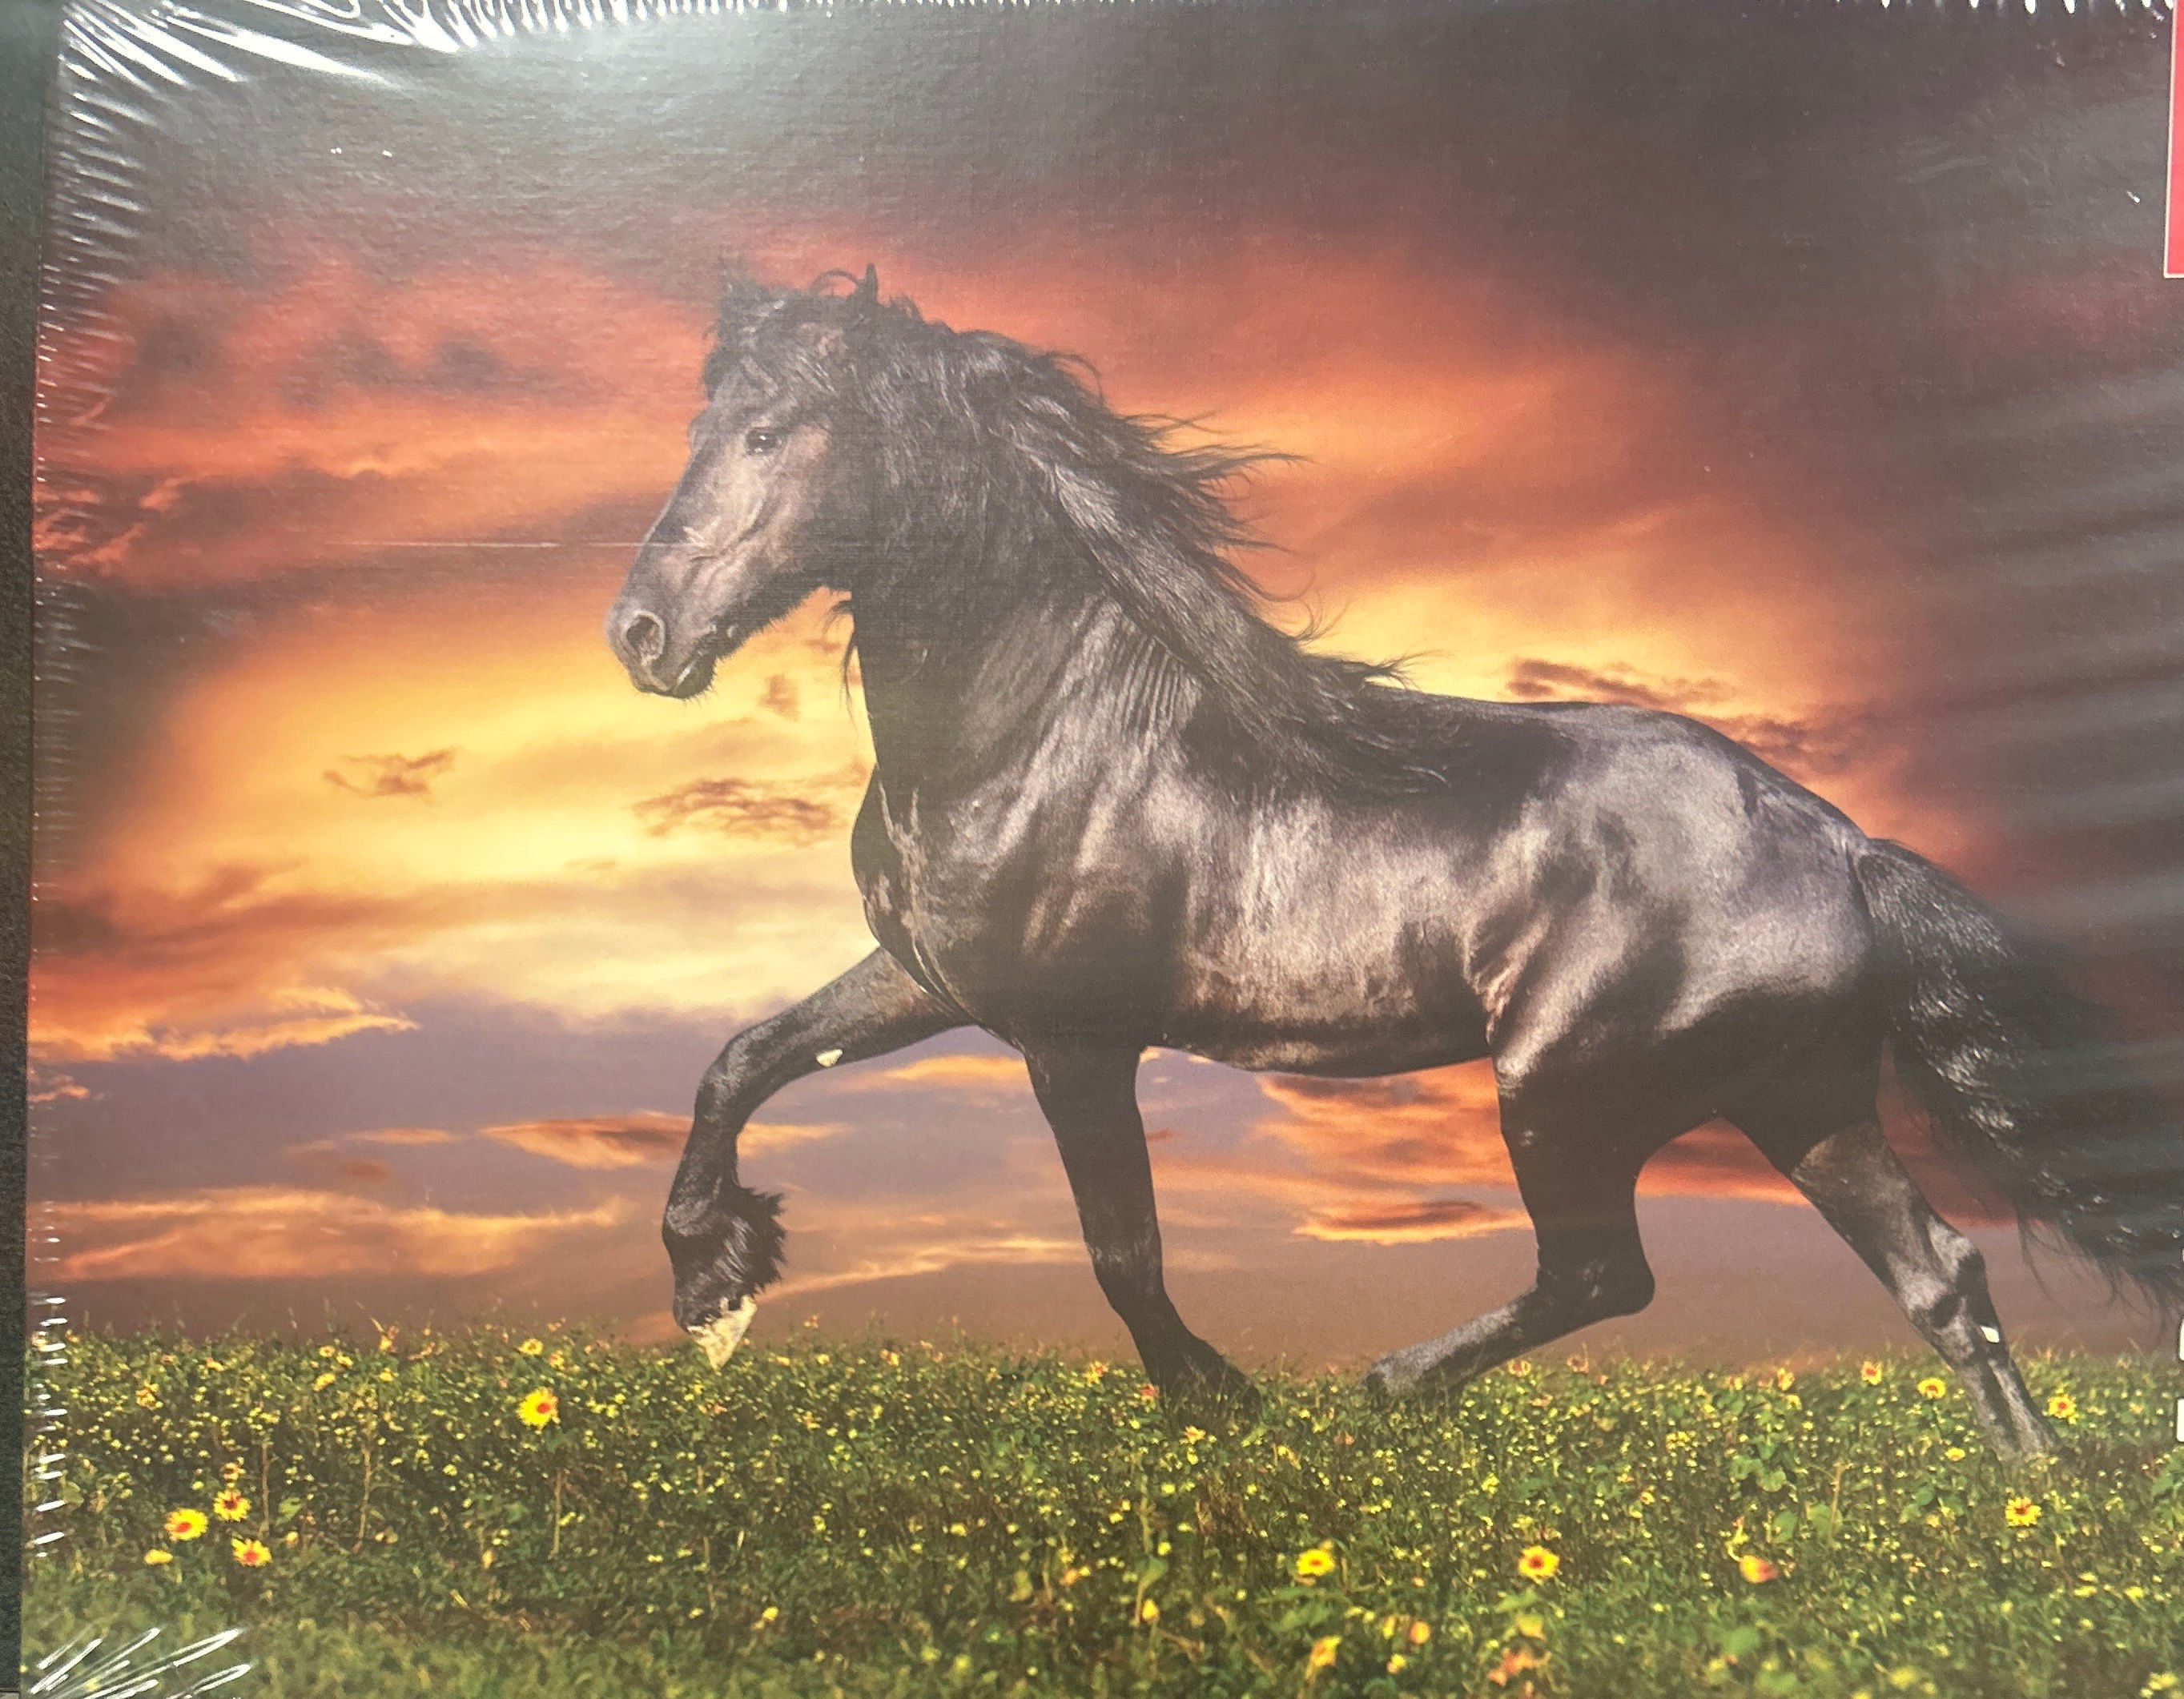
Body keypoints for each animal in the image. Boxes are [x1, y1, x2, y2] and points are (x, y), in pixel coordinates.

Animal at [605, 268, 2184, 1458]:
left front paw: (1220, 1400)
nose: (638, 632)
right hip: (1796, 1096)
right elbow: (742, 1058)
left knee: (1605, 1270)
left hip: (1567, 1085)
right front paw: (714, 1281)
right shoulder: (927, 976)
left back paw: (1385, 1383)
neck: (1041, 726)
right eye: (696, 423)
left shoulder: (1073, 1036)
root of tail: (1837, 840)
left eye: (771, 431)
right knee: (1941, 1276)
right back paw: (2032, 1499)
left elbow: (1122, 1252)